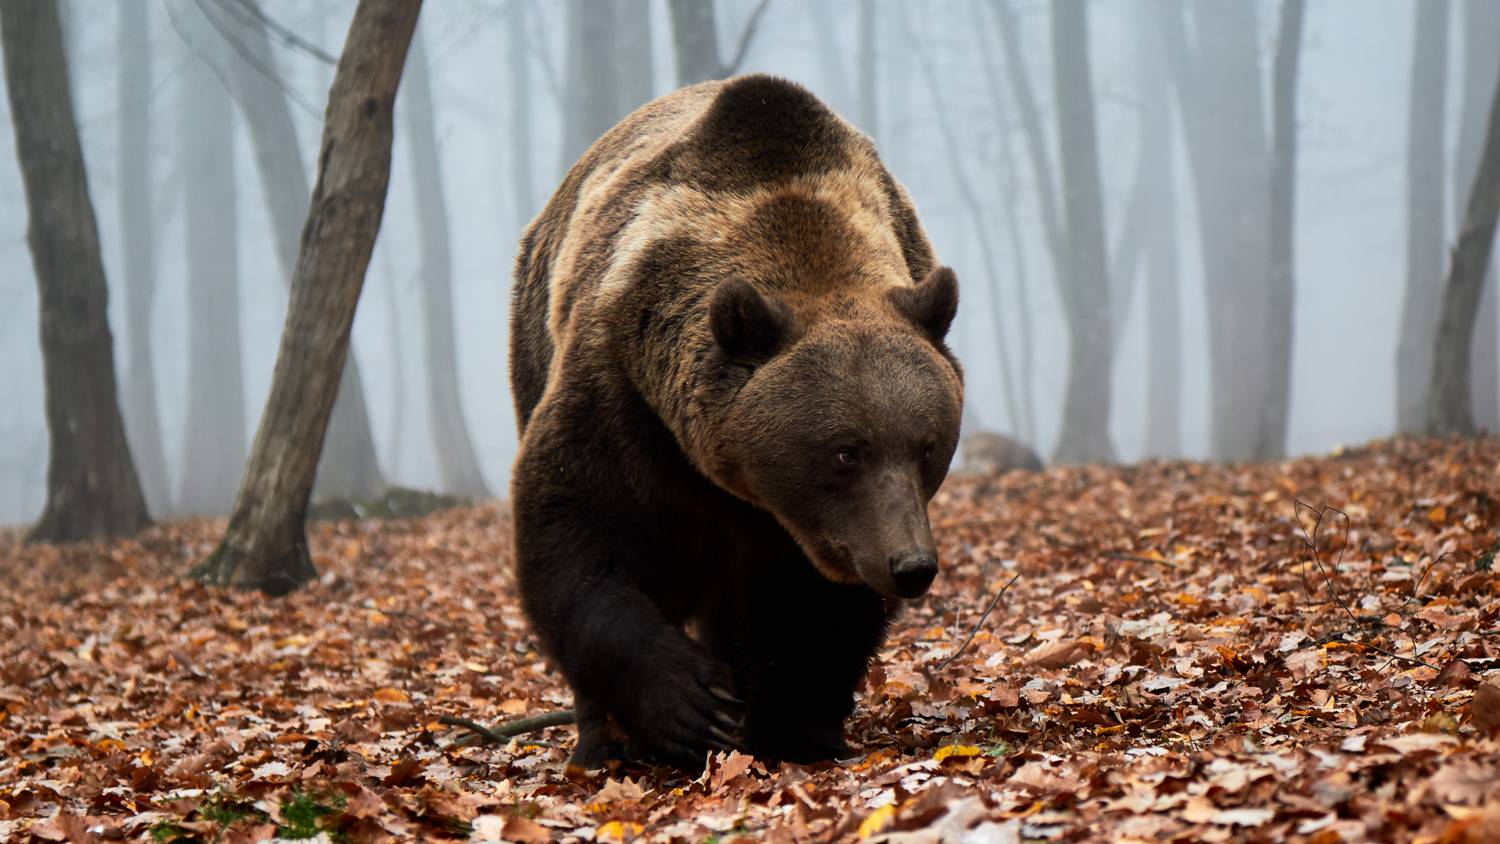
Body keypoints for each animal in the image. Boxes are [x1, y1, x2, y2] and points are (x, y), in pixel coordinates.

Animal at [513, 74, 960, 773]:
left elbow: (808, 608)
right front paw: (693, 704)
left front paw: (795, 728)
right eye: (846, 451)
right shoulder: (623, 393)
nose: (911, 565)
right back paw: (600, 745)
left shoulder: (811, 533)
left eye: (928, 447)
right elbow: (581, 536)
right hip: (532, 342)